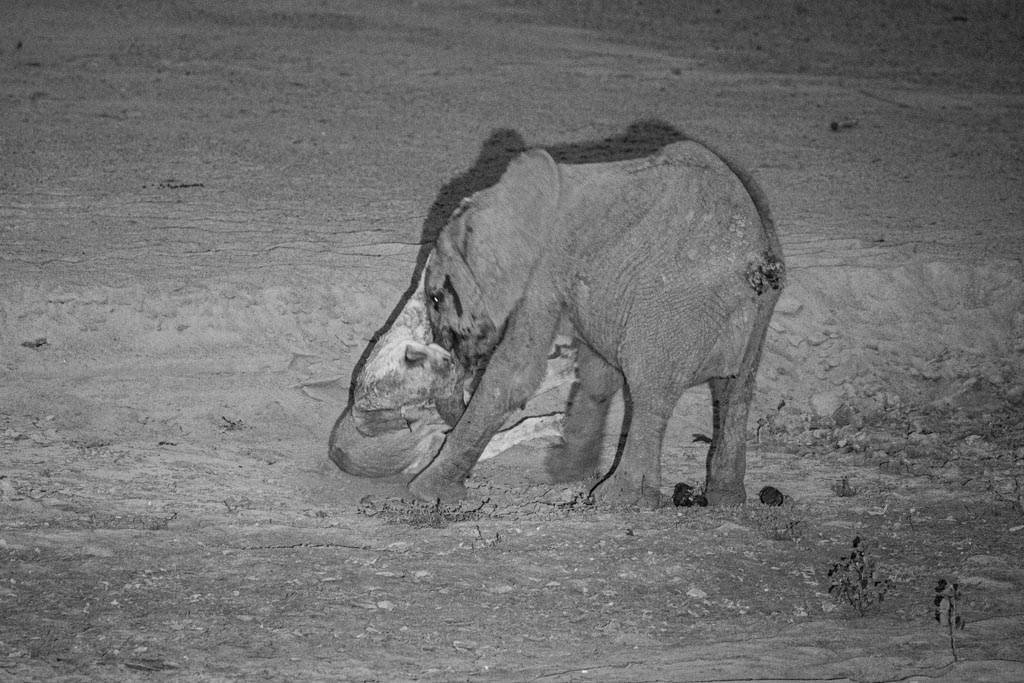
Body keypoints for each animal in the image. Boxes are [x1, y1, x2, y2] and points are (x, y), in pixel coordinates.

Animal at [411, 140, 778, 507]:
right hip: (756, 313)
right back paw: (726, 498)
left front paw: (423, 490)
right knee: (735, 391)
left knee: (651, 390)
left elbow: (515, 374)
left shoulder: (544, 275)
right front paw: (562, 472)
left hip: (675, 306)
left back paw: (620, 499)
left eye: (436, 299)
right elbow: (598, 375)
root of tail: (755, 266)